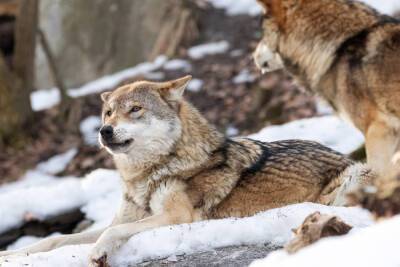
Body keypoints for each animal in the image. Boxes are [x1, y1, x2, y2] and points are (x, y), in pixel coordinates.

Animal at [0, 76, 376, 266]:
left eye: (134, 110)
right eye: (108, 113)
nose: (104, 131)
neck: (147, 174)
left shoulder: (177, 218)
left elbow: (112, 234)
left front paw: (97, 253)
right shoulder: (124, 218)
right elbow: (55, 239)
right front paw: (12, 253)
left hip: (354, 178)